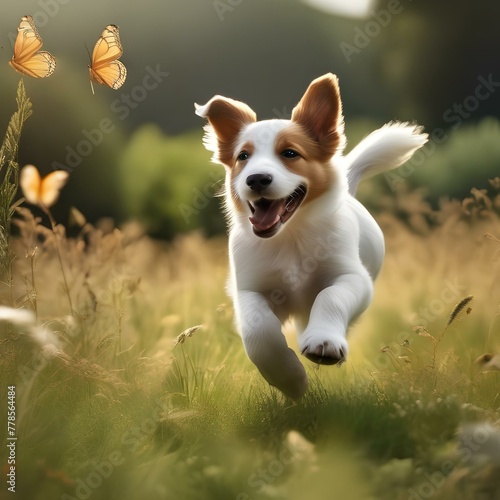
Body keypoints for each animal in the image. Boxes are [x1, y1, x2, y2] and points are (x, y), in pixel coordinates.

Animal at [195, 73, 426, 398]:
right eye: (243, 156)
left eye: (290, 153)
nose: (256, 179)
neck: (291, 236)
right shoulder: (248, 289)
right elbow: (258, 330)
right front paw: (289, 377)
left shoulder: (353, 277)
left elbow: (330, 297)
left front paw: (324, 342)